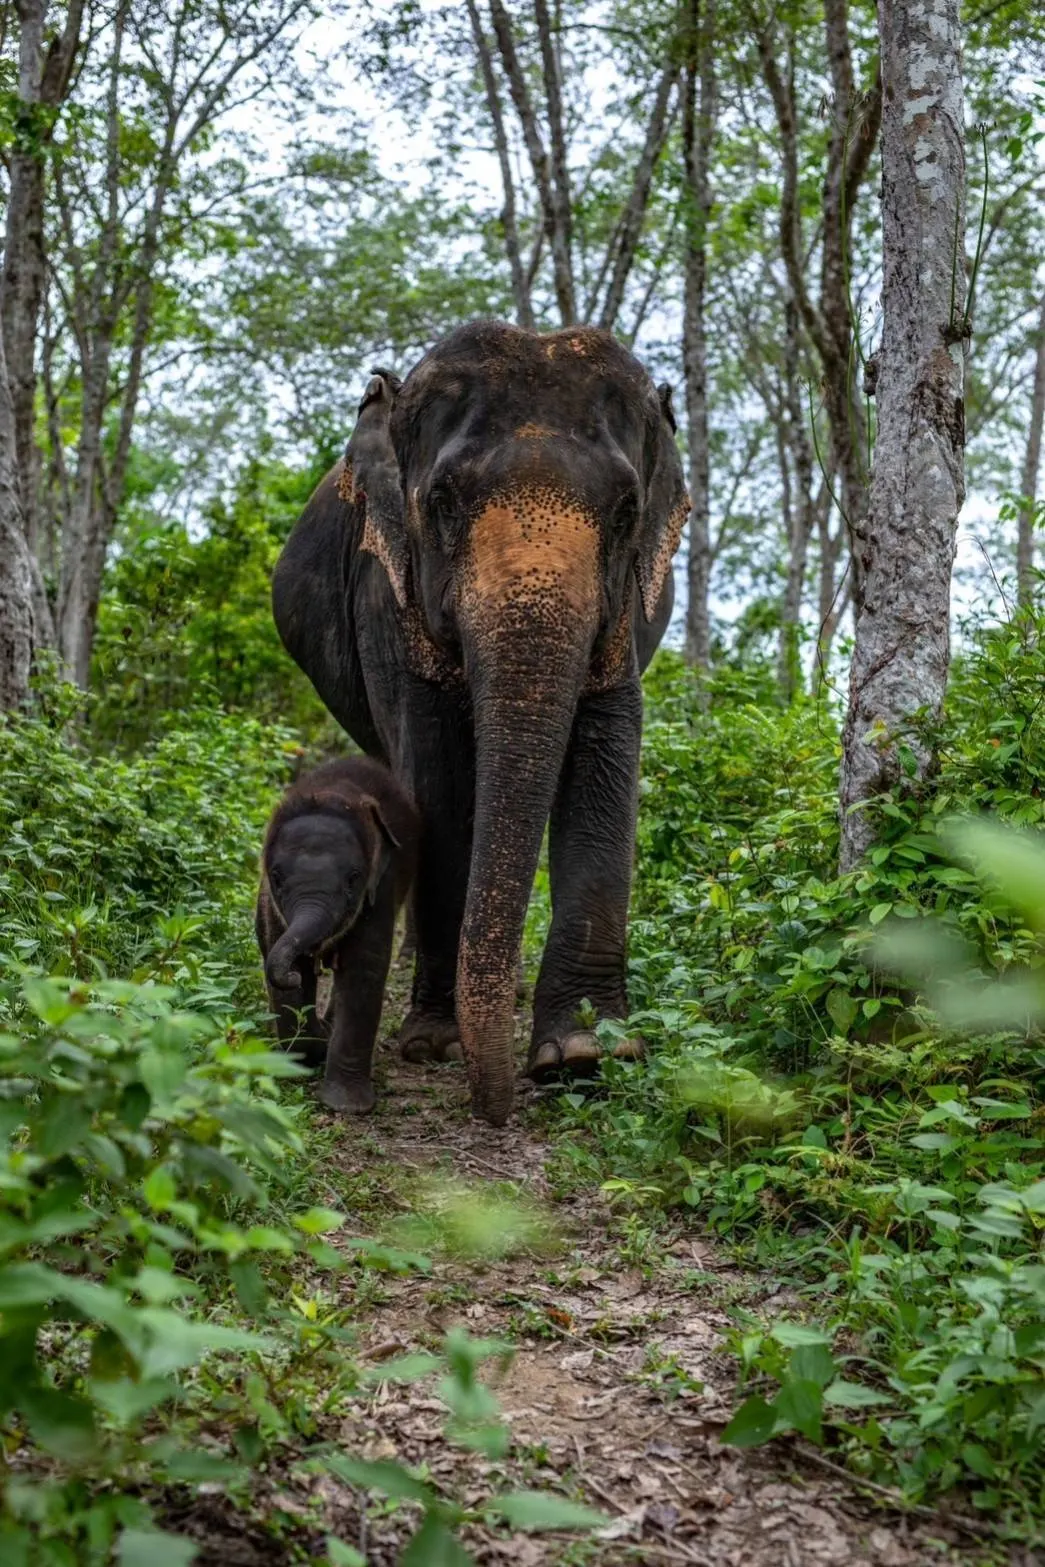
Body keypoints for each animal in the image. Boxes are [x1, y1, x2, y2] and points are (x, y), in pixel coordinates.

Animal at [256, 756, 420, 1114]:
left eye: (353, 878)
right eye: (276, 877)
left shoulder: (380, 887)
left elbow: (363, 970)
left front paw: (346, 1106)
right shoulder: (270, 903)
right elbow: (282, 955)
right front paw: (305, 1055)